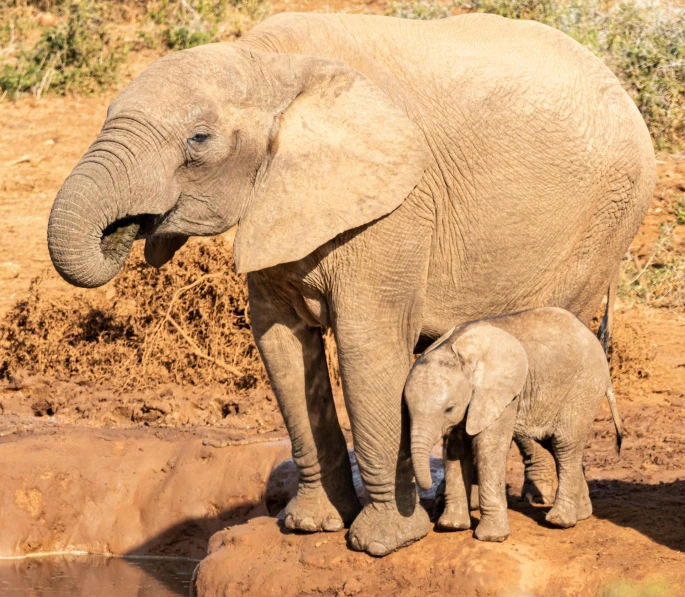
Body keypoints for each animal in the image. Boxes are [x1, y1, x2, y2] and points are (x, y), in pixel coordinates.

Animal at [400, 308, 620, 540]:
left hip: (584, 387)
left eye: (449, 408)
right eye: (407, 409)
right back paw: (582, 514)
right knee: (554, 445)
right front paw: (452, 526)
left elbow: (489, 446)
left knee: (564, 445)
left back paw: (559, 521)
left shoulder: (502, 393)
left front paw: (491, 537)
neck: (457, 350)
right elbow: (455, 449)